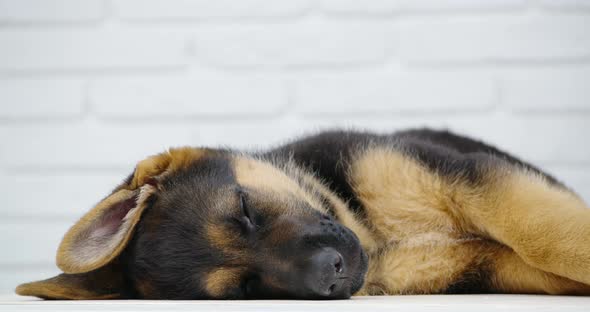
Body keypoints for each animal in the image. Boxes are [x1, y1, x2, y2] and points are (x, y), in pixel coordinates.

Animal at [16, 129, 590, 300]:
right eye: (246, 289)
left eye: (246, 210)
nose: (331, 275)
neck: (374, 236)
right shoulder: (484, 268)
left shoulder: (477, 181)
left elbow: (550, 236)